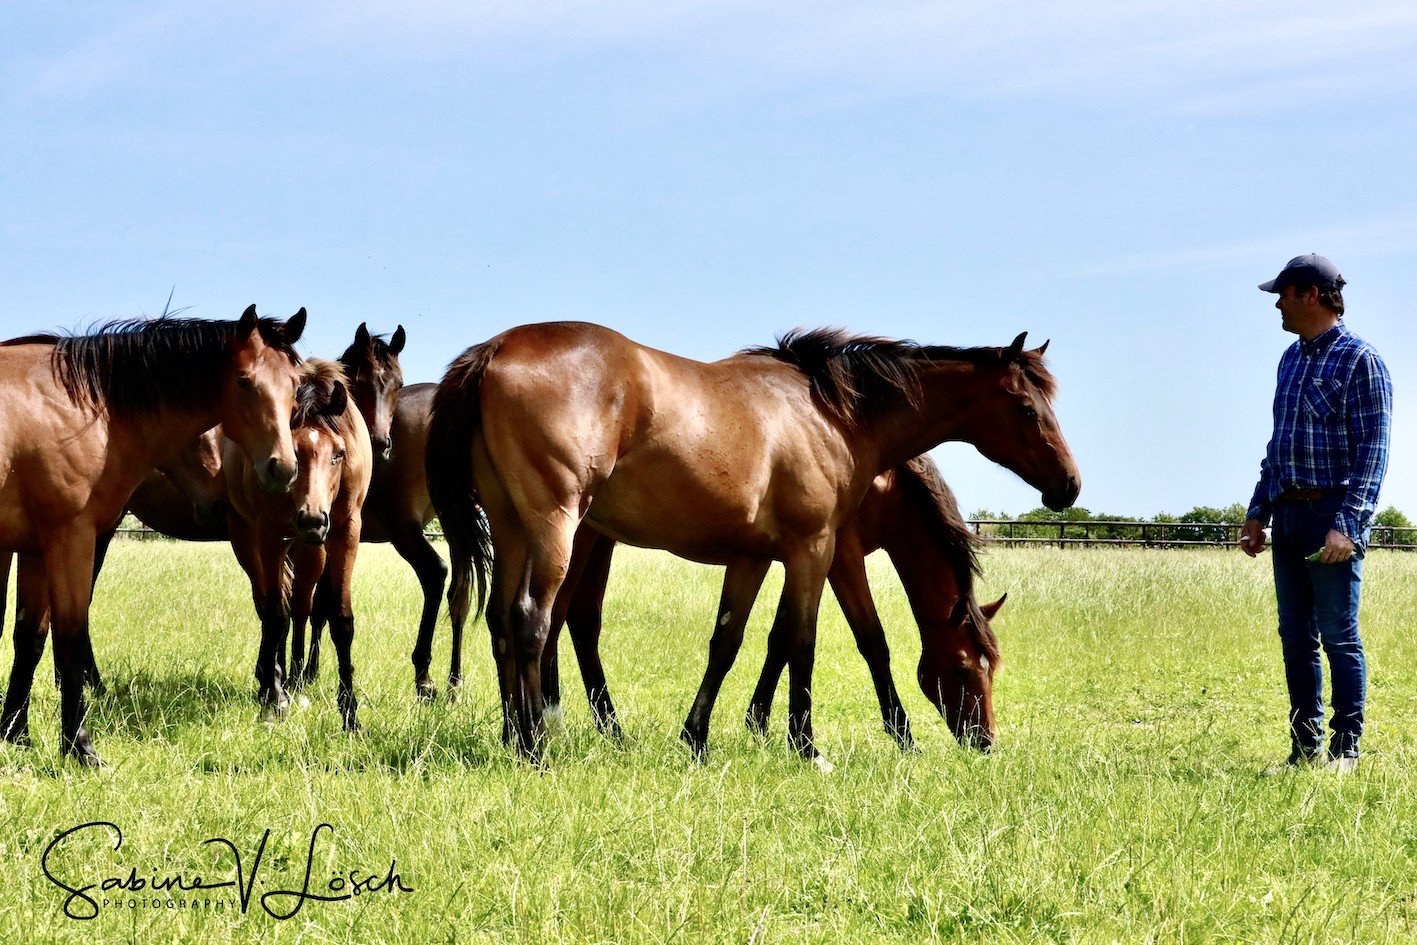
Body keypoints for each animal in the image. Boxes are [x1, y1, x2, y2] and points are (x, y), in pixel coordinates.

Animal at [0, 306, 305, 765]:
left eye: (295, 386)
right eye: (244, 381)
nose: (281, 469)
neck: (79, 408)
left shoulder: (35, 548)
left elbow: (29, 639)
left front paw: (16, 736)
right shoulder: (69, 538)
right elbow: (69, 635)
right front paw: (80, 747)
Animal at [223, 359, 373, 729]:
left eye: (339, 454)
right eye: (294, 451)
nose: (313, 519)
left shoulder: (346, 532)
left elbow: (340, 620)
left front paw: (350, 714)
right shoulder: (270, 533)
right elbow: (275, 615)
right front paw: (272, 701)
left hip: (312, 552)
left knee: (301, 607)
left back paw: (292, 678)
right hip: (250, 542)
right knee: (270, 606)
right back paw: (272, 680)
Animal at [540, 455, 1007, 753]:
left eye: (992, 669)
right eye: (963, 668)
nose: (985, 741)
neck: (883, 483)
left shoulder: (796, 558)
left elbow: (781, 637)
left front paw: (759, 721)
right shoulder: (840, 557)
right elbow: (872, 640)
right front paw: (902, 734)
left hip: (601, 541)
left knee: (583, 621)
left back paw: (610, 731)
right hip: (579, 540)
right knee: (557, 616)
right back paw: (552, 722)